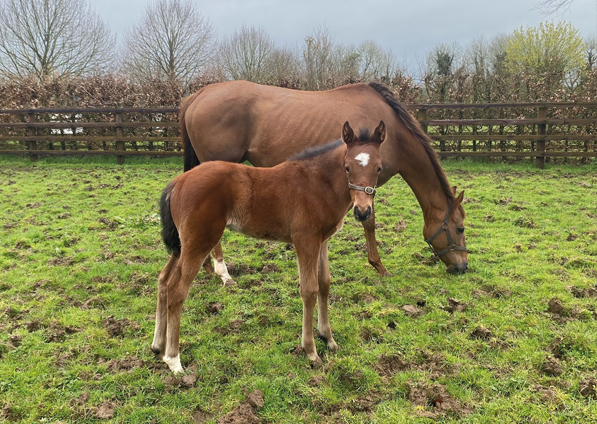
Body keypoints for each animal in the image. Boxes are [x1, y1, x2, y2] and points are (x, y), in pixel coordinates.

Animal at [152, 121, 386, 372]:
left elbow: (324, 284)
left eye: (379, 169)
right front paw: (311, 351)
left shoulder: (322, 240)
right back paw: (174, 360)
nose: (363, 212)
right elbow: (309, 290)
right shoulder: (305, 240)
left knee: (164, 280)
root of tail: (178, 182)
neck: (318, 183)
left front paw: (328, 339)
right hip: (199, 242)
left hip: (182, 245)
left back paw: (158, 346)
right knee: (177, 291)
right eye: (347, 167)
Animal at [179, 81, 468, 276]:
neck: (392, 134)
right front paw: (379, 266)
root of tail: (199, 95)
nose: (463, 266)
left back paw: (207, 266)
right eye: (460, 229)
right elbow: (370, 223)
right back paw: (221, 270)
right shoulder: (364, 187)